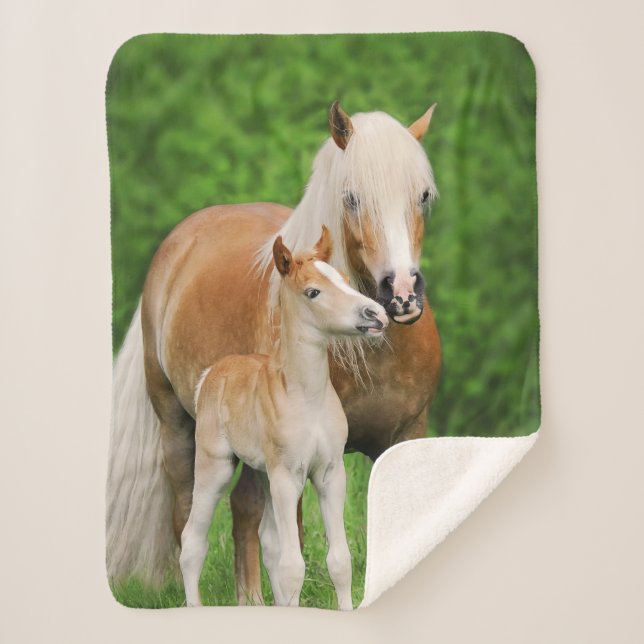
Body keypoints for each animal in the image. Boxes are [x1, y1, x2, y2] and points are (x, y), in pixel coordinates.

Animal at [180, 228, 389, 609]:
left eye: (345, 279)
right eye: (313, 291)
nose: (376, 313)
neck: (307, 398)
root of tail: (212, 374)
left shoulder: (329, 473)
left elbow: (339, 561)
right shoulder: (287, 477)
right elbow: (293, 566)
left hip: (264, 472)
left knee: (268, 541)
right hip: (216, 466)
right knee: (192, 541)